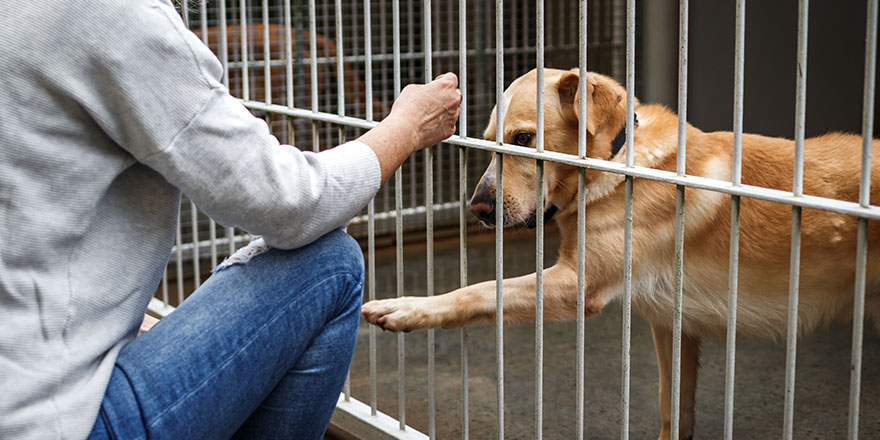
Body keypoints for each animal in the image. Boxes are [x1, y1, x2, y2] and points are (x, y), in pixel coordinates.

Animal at [360, 67, 880, 438]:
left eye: (524, 139)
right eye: (489, 144)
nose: (478, 210)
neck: (613, 162)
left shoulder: (577, 284)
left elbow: (479, 290)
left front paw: (406, 308)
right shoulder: (674, 326)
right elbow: (675, 412)